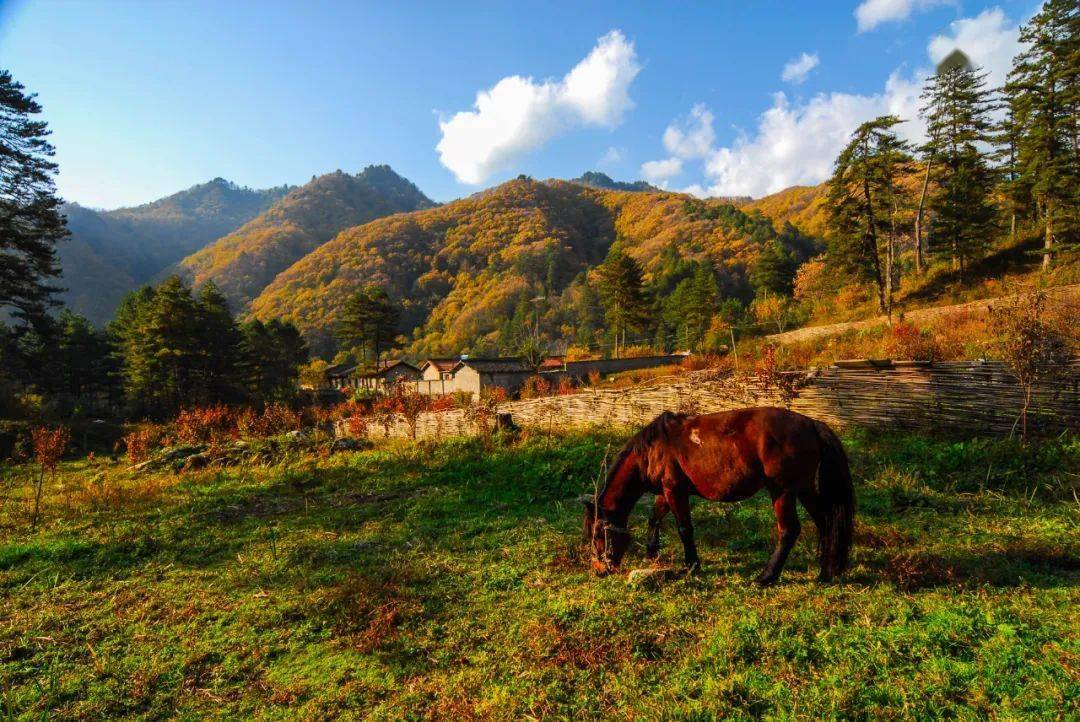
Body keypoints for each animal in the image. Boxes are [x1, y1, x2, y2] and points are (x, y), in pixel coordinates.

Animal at [583, 407, 851, 582]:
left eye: (597, 534)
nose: (599, 569)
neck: (652, 450)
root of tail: (811, 424)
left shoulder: (675, 491)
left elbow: (684, 529)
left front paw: (692, 565)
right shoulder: (666, 492)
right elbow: (654, 518)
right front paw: (652, 552)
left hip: (783, 491)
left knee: (789, 530)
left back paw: (766, 577)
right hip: (804, 489)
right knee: (825, 521)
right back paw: (826, 572)